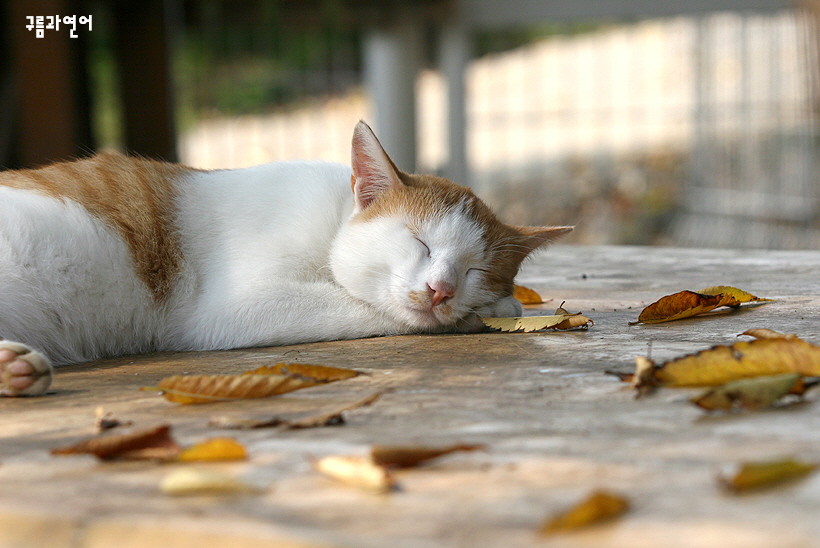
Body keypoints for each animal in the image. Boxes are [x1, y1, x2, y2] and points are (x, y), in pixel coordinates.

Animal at [0, 121, 572, 394]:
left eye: (477, 271)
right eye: (420, 243)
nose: (442, 290)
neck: (334, 217)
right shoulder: (233, 308)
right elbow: (365, 308)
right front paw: (497, 311)